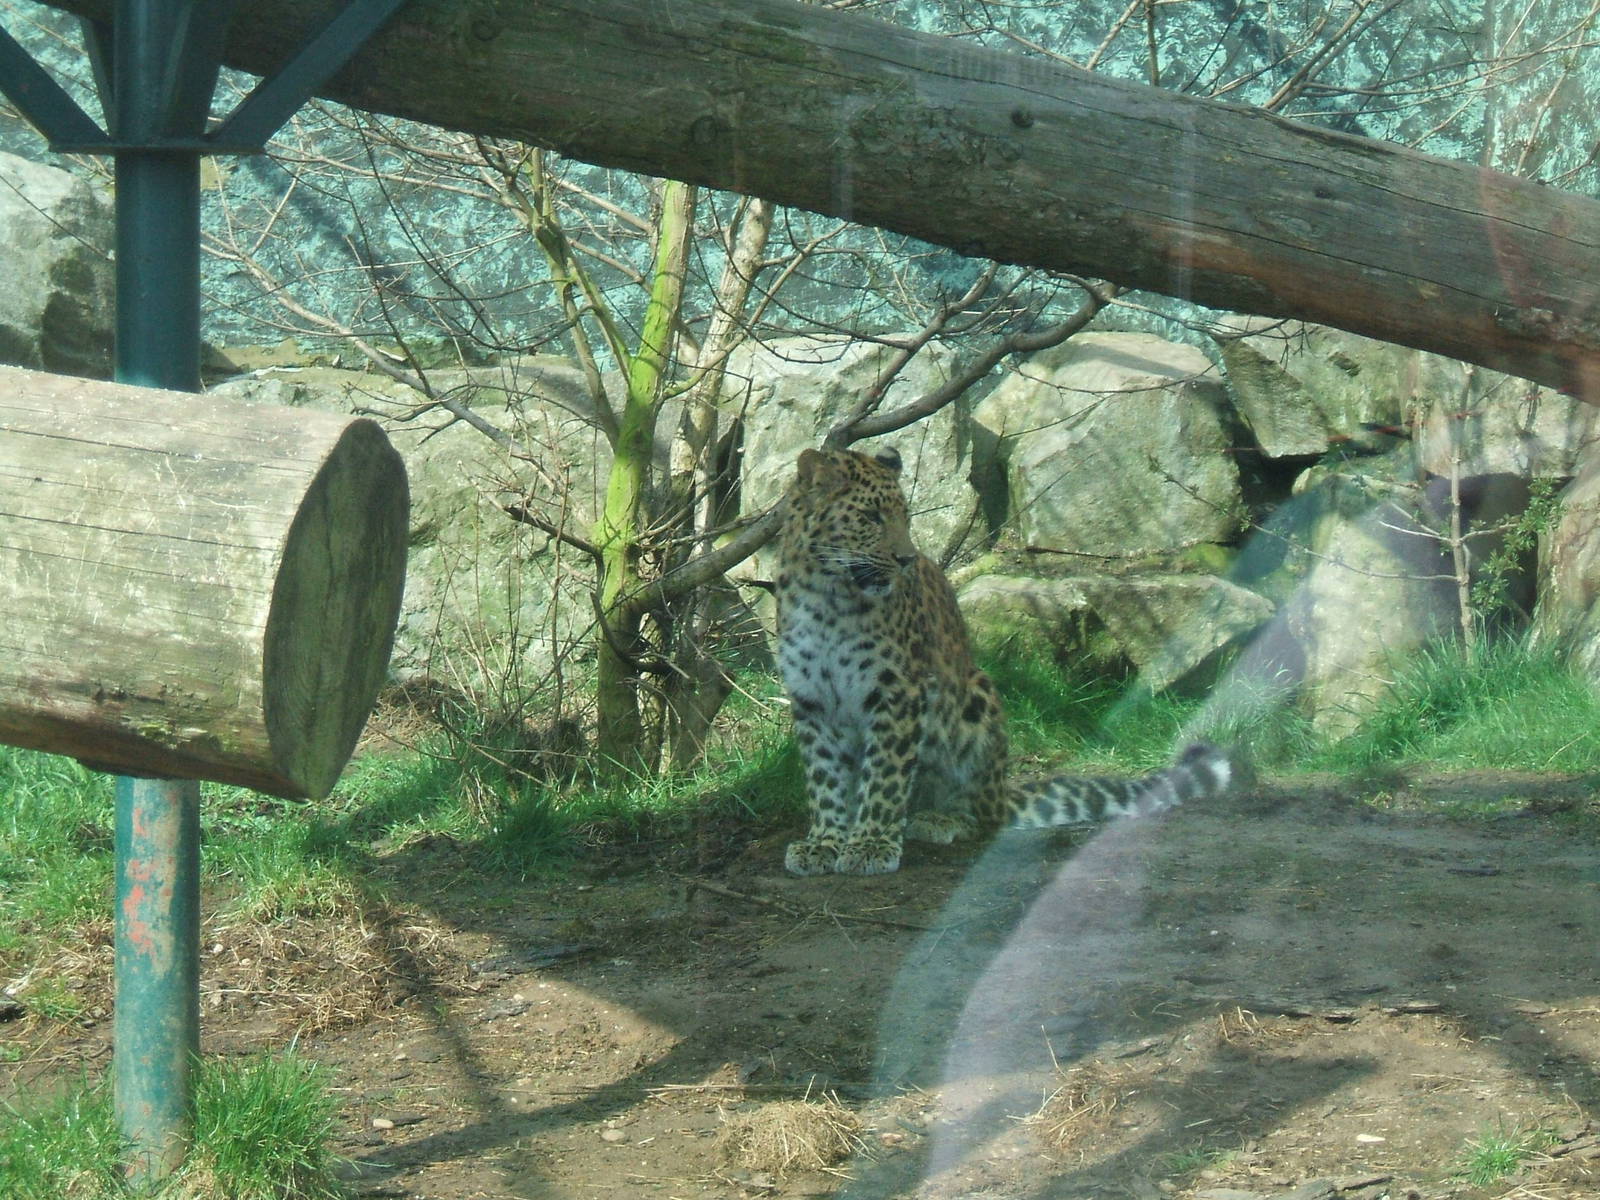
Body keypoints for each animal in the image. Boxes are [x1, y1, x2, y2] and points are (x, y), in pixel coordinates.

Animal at [774, 444, 1231, 876]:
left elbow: (885, 775)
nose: (906, 559)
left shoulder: (898, 690)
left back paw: (937, 819)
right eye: (870, 517)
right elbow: (825, 777)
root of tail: (1001, 791)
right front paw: (824, 842)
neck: (828, 595)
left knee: (982, 815)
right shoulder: (812, 698)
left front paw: (870, 844)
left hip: (978, 695)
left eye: (905, 517)